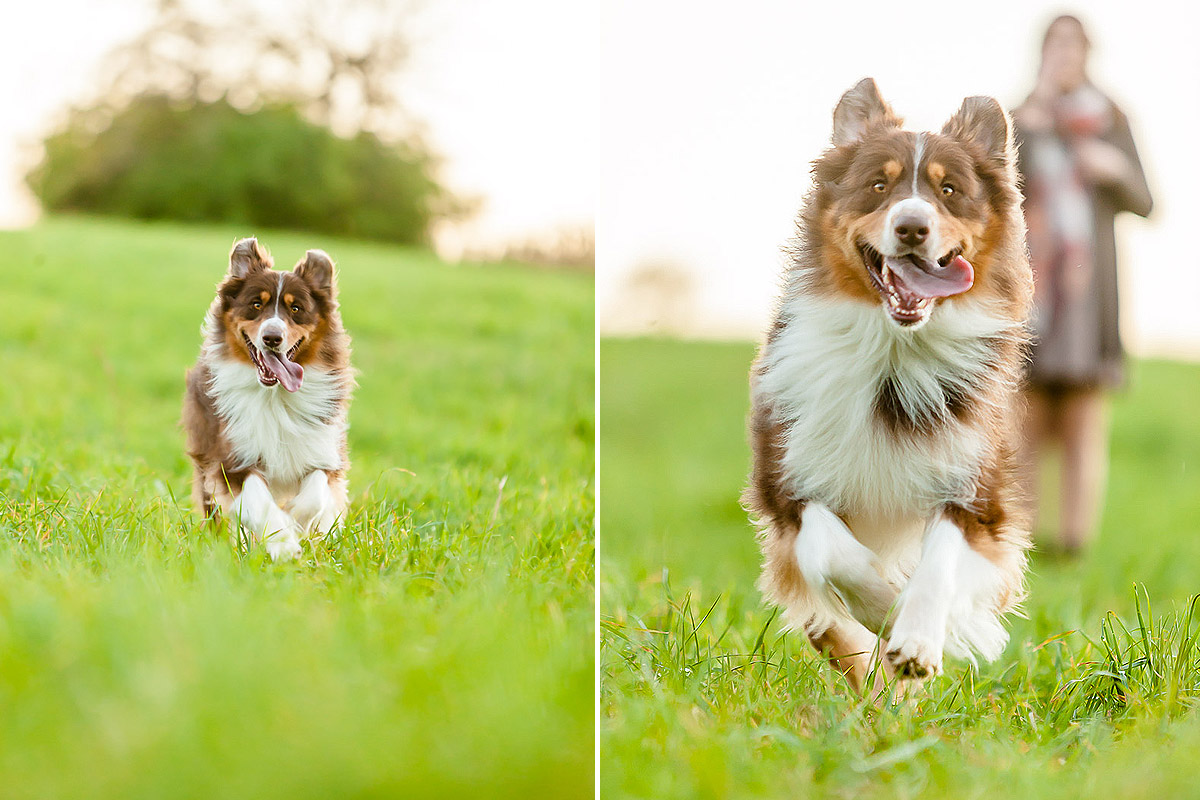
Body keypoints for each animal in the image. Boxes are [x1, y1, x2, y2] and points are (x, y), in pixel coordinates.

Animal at [181, 239, 350, 563]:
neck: (275, 396)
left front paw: (297, 522)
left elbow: (315, 493)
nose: (272, 337)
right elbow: (257, 500)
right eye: (256, 305)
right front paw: (283, 542)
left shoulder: (322, 451)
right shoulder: (231, 458)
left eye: (296, 308)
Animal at [744, 82, 1036, 695]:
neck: (892, 352)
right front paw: (887, 608)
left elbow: (941, 560)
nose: (911, 227)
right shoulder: (787, 485)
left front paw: (918, 634)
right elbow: (828, 553)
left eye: (949, 191)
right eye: (879, 185)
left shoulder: (977, 494)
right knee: (830, 625)